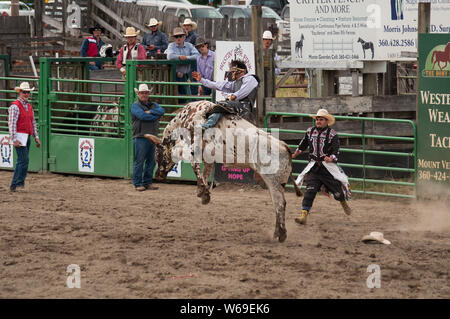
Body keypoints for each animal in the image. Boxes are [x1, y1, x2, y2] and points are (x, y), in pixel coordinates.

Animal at [146, 101, 300, 244]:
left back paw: (281, 234)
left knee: (279, 204)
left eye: (157, 154)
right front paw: (202, 192)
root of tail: (284, 146)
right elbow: (205, 171)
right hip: (278, 183)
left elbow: (194, 164)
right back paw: (277, 233)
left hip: (272, 181)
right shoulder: (207, 155)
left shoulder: (193, 146)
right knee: (278, 205)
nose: (157, 175)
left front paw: (204, 193)